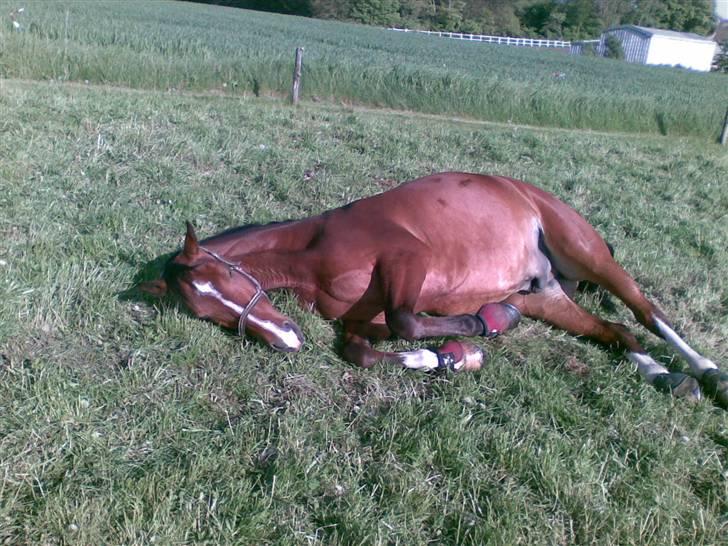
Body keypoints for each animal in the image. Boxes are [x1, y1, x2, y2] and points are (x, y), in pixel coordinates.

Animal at [139, 172, 724, 406]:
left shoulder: (409, 261)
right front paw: (449, 359)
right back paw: (666, 377)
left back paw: (706, 371)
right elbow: (362, 352)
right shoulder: (360, 320)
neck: (315, 250)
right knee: (616, 330)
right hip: (548, 295)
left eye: (229, 279)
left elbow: (407, 319)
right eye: (207, 313)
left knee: (647, 313)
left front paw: (482, 326)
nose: (287, 340)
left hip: (589, 255)